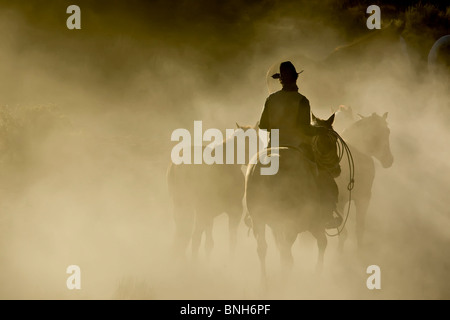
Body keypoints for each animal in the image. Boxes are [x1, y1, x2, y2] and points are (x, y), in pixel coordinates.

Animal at [246, 114, 342, 278]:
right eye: (332, 140)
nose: (337, 169)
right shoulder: (314, 223)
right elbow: (322, 243)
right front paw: (318, 271)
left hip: (259, 219)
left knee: (263, 249)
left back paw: (265, 280)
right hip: (291, 221)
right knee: (287, 254)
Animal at [336, 111, 392, 251]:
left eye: (388, 131)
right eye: (379, 132)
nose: (389, 160)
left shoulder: (363, 199)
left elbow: (359, 230)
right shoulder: (339, 203)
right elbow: (343, 234)